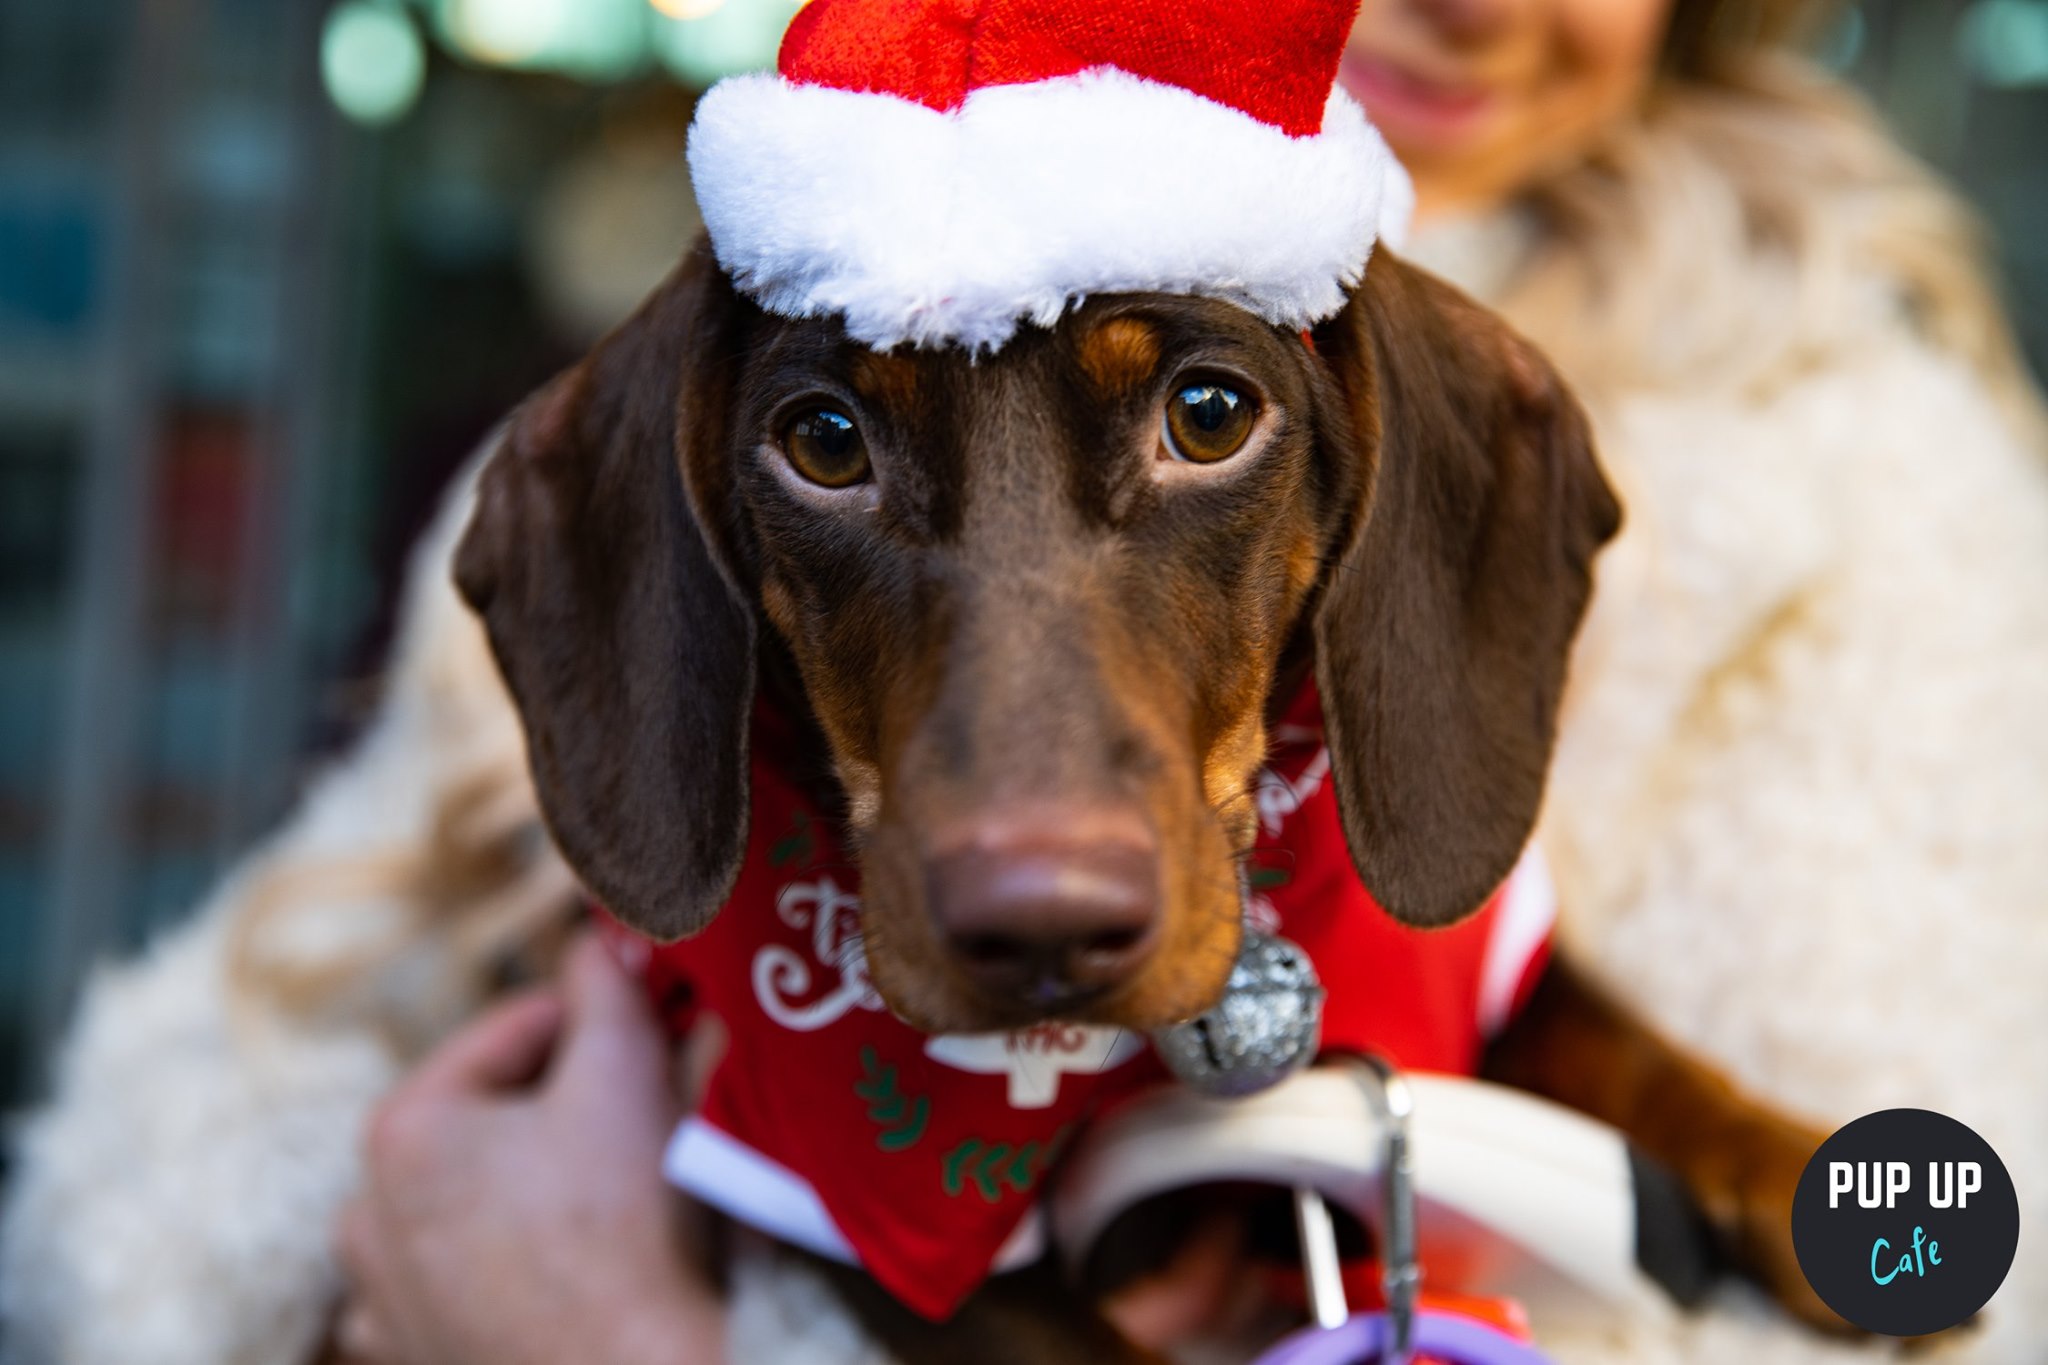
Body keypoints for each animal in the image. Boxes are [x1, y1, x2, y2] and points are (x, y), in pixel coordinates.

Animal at [456, 237, 1835, 1358]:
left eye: (1210, 415)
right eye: (824, 441)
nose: (1042, 930)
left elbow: (1626, 1044)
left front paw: (1781, 1166)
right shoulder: (839, 1217)